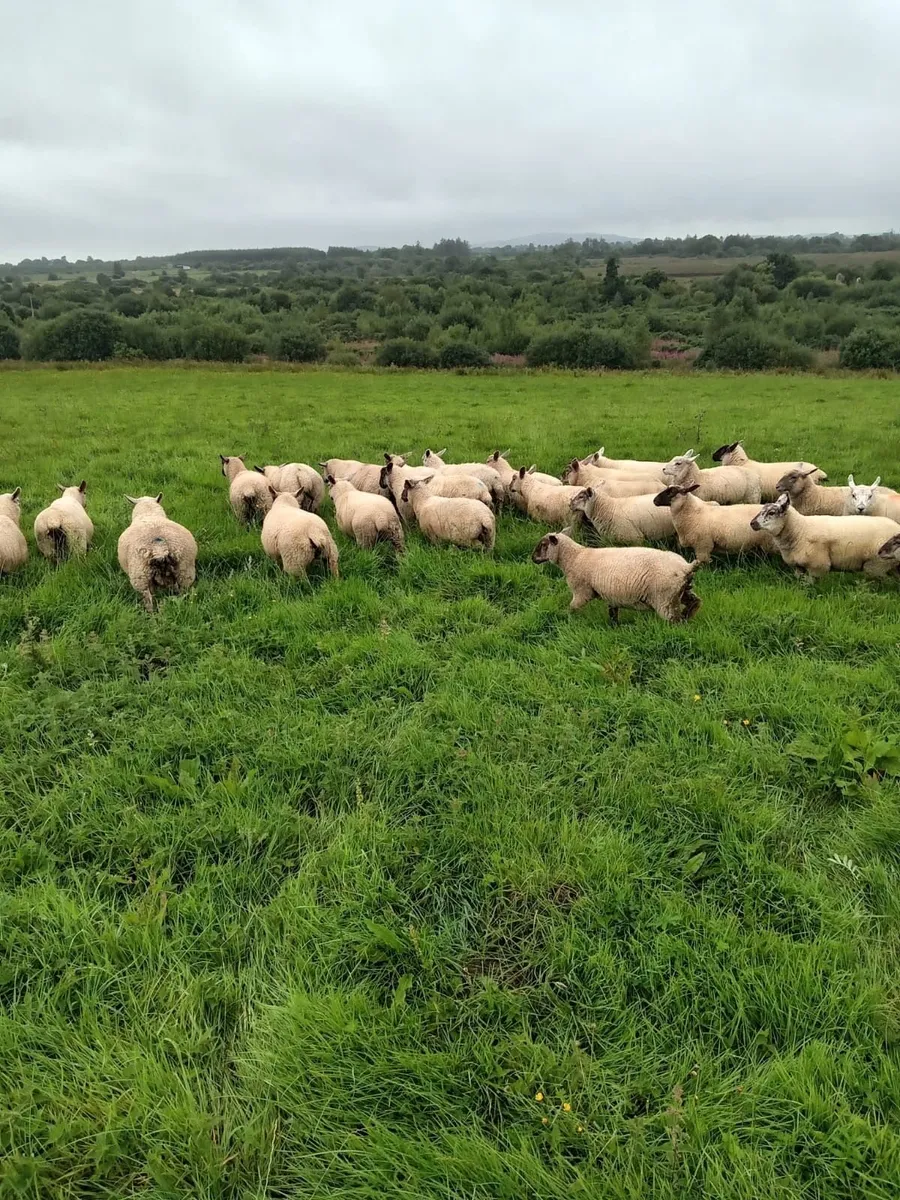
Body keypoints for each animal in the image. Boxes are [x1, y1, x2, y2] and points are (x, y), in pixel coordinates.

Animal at [532, 527, 701, 624]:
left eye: (543, 545)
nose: (533, 558)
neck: (573, 557)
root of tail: (685, 567)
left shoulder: (582, 591)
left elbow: (572, 607)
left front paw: (565, 618)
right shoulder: (611, 594)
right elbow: (612, 613)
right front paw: (614, 626)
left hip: (664, 598)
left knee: (673, 620)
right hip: (680, 591)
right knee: (695, 602)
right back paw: (688, 616)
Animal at [749, 492, 900, 580]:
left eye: (771, 512)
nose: (752, 523)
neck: (800, 530)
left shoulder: (817, 566)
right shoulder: (799, 567)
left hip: (877, 565)